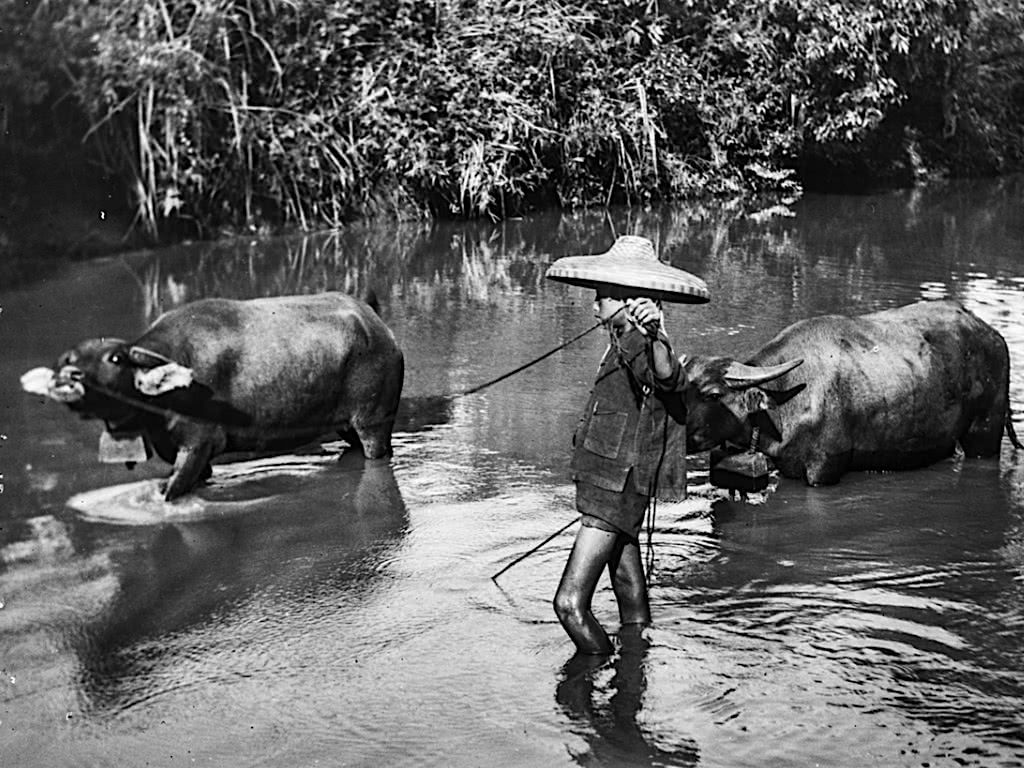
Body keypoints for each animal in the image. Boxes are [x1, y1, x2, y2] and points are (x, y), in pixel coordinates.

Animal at [19, 290, 403, 501]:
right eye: (67, 358)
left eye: (114, 358)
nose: (70, 376)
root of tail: (377, 323)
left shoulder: (198, 443)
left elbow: (169, 490)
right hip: (345, 426)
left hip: (374, 420)